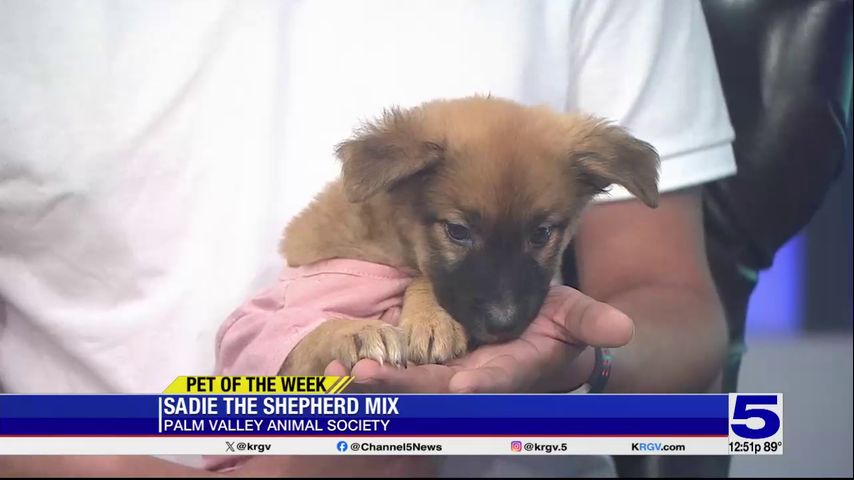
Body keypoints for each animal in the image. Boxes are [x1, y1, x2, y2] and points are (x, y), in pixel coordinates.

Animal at [278, 96, 660, 376]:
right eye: (457, 231)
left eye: (541, 234)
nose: (504, 325)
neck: (385, 240)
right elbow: (307, 334)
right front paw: (357, 332)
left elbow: (422, 277)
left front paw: (431, 319)